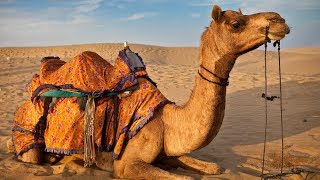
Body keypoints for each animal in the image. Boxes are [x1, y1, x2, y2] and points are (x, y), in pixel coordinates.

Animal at [9, 4, 290, 179]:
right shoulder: (126, 165)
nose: (280, 20)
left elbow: (212, 167)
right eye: (235, 24)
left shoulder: (167, 151)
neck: (167, 121)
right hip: (28, 134)